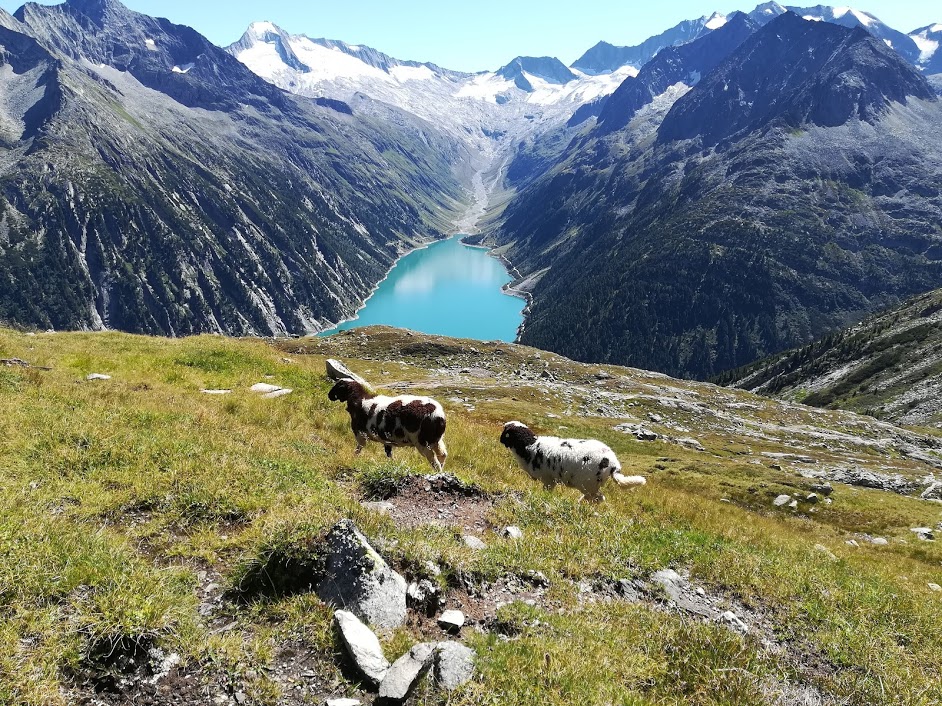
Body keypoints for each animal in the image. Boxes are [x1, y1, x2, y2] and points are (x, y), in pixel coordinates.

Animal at [498, 418, 644, 500]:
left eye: (505, 432)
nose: (500, 440)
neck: (530, 445)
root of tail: (613, 464)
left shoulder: (548, 479)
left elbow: (547, 491)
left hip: (588, 484)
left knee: (598, 498)